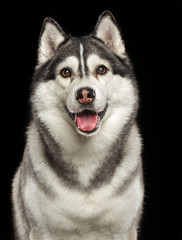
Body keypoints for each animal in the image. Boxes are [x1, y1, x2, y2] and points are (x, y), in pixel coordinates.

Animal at [12, 10, 144, 239]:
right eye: (66, 72)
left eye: (101, 69)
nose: (85, 94)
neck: (86, 158)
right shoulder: (41, 231)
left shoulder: (124, 230)